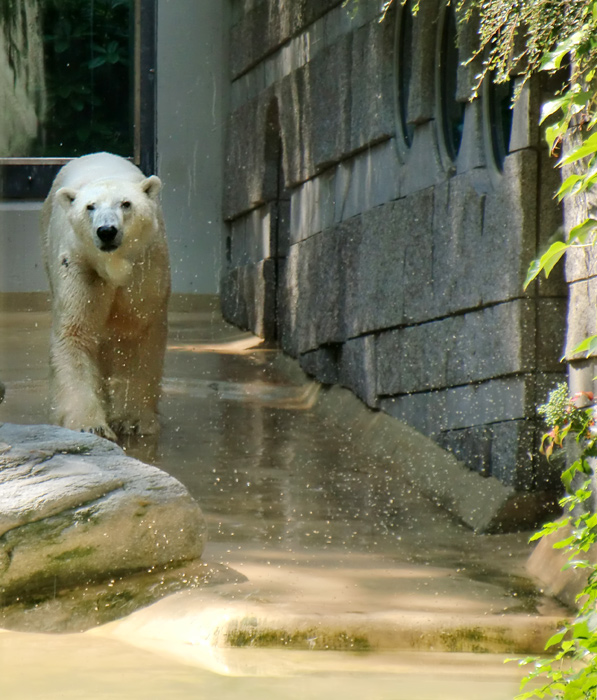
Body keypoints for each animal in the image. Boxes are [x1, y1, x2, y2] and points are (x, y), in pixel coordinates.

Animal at [41, 153, 170, 440]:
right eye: (90, 206)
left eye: (126, 203)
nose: (107, 230)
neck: (113, 266)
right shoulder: (80, 265)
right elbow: (75, 333)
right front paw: (91, 425)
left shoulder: (145, 267)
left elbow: (138, 332)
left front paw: (134, 420)